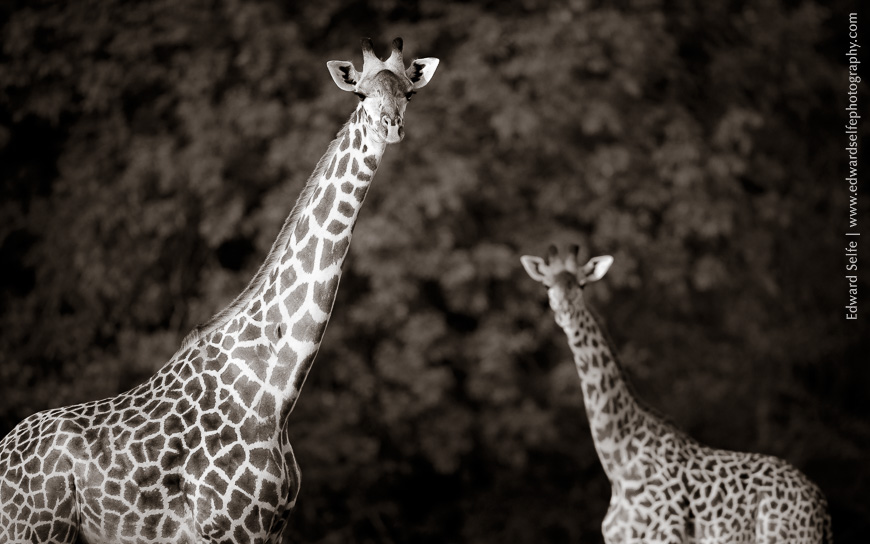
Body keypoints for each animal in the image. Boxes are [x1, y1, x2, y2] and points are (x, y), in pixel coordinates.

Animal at [0, 37, 438, 544]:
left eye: (408, 93)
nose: (391, 127)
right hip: (32, 530)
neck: (271, 394)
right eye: (360, 95)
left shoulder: (273, 528)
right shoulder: (231, 527)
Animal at [521, 245, 832, 544]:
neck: (618, 463)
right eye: (547, 284)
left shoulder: (663, 536)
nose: (564, 310)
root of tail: (820, 503)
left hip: (787, 538)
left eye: (582, 284)